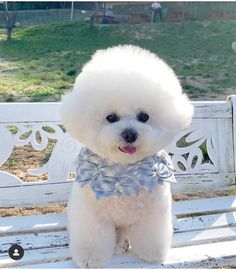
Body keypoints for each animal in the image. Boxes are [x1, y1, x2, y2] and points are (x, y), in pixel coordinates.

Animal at [60, 44, 194, 268]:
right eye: (111, 117)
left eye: (144, 116)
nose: (130, 134)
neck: (123, 172)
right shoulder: (92, 216)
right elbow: (92, 239)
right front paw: (90, 259)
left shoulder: (153, 214)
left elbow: (150, 235)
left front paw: (152, 253)